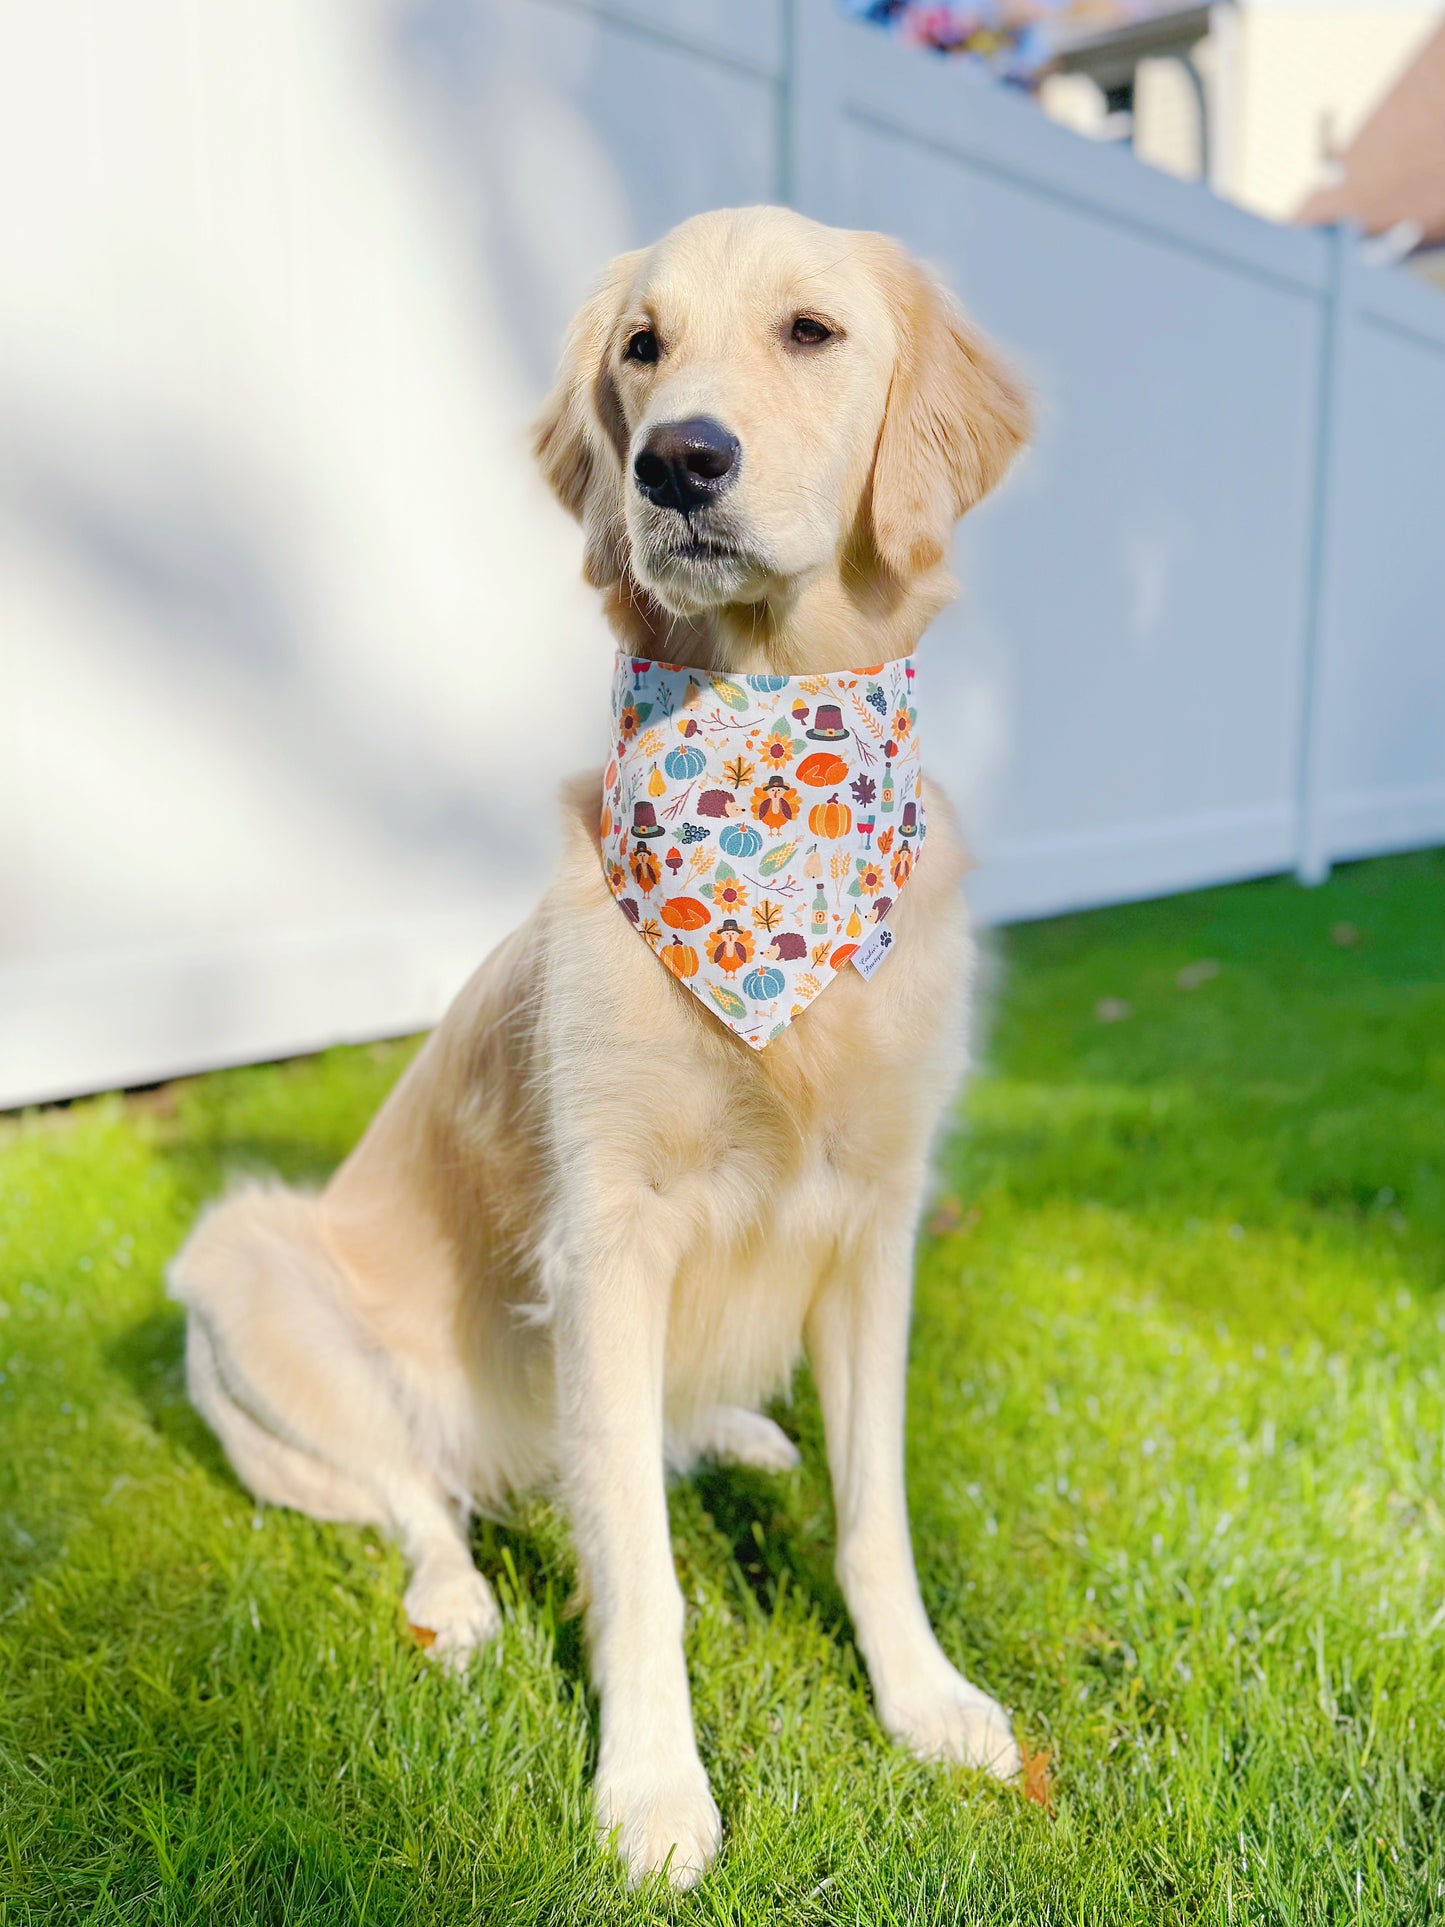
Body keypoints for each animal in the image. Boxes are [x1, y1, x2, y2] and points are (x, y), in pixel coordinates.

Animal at [166, 207, 1032, 1880]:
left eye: (811, 332)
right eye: (643, 347)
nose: (677, 461)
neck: (768, 772)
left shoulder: (876, 1218)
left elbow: (873, 1515)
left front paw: (924, 1698)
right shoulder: (606, 1238)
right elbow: (638, 1562)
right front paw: (650, 1786)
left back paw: (743, 1433)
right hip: (243, 1272)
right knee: (417, 1490)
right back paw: (456, 1597)